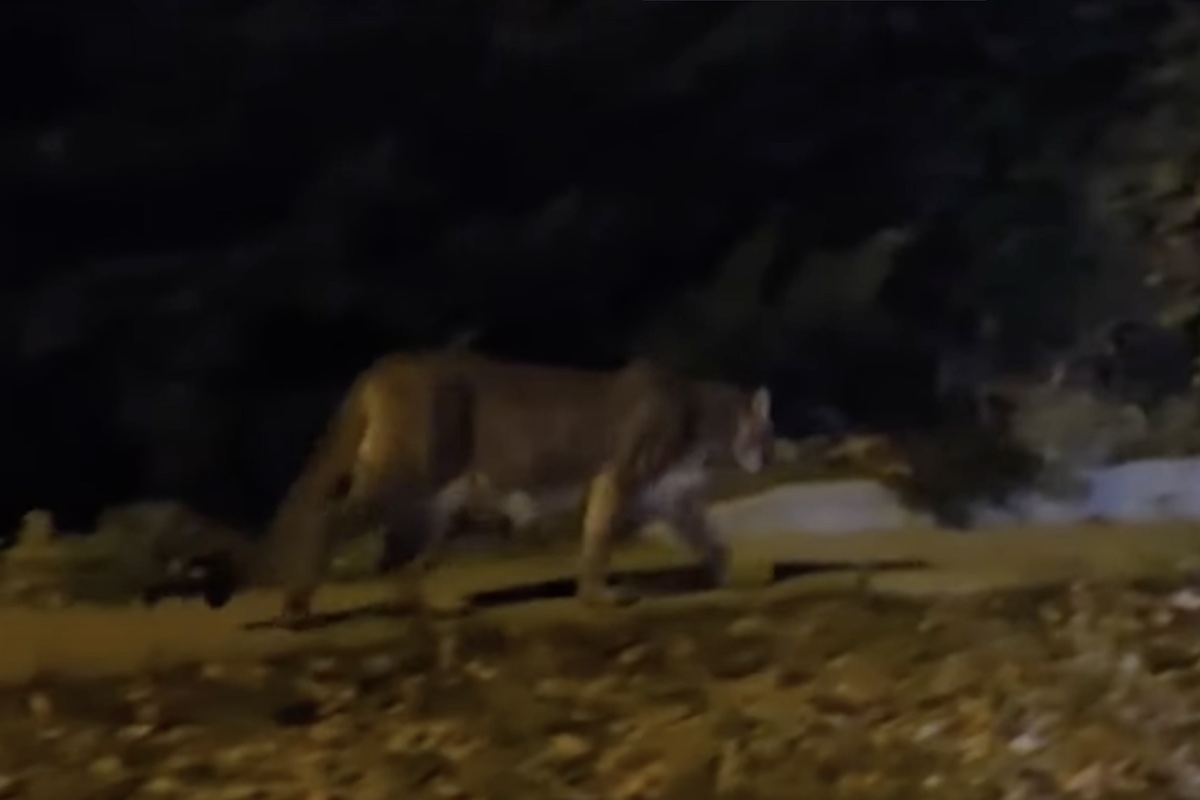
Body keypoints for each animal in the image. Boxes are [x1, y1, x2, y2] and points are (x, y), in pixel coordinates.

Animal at [235, 352, 773, 625]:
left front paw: (733, 573)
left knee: (393, 556)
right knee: (333, 520)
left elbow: (708, 537)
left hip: (438, 502)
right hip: (408, 474)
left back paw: (431, 605)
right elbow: (599, 538)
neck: (704, 421)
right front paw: (599, 596)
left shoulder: (669, 496)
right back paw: (297, 605)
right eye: (767, 430)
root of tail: (386, 365)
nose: (770, 455)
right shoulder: (619, 477)